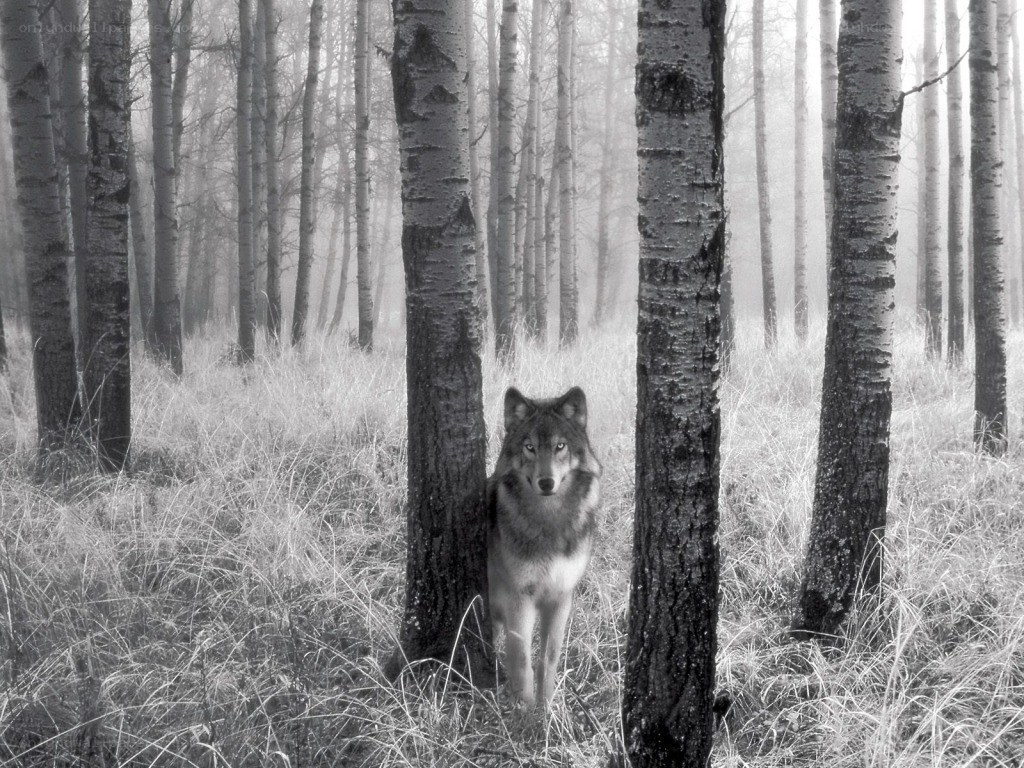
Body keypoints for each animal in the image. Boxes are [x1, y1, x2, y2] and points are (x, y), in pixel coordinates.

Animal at [487, 386, 602, 708]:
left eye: (560, 446)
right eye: (529, 447)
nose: (546, 482)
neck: (549, 521)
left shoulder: (561, 596)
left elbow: (548, 659)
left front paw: (547, 707)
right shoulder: (519, 598)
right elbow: (522, 660)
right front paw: (525, 712)